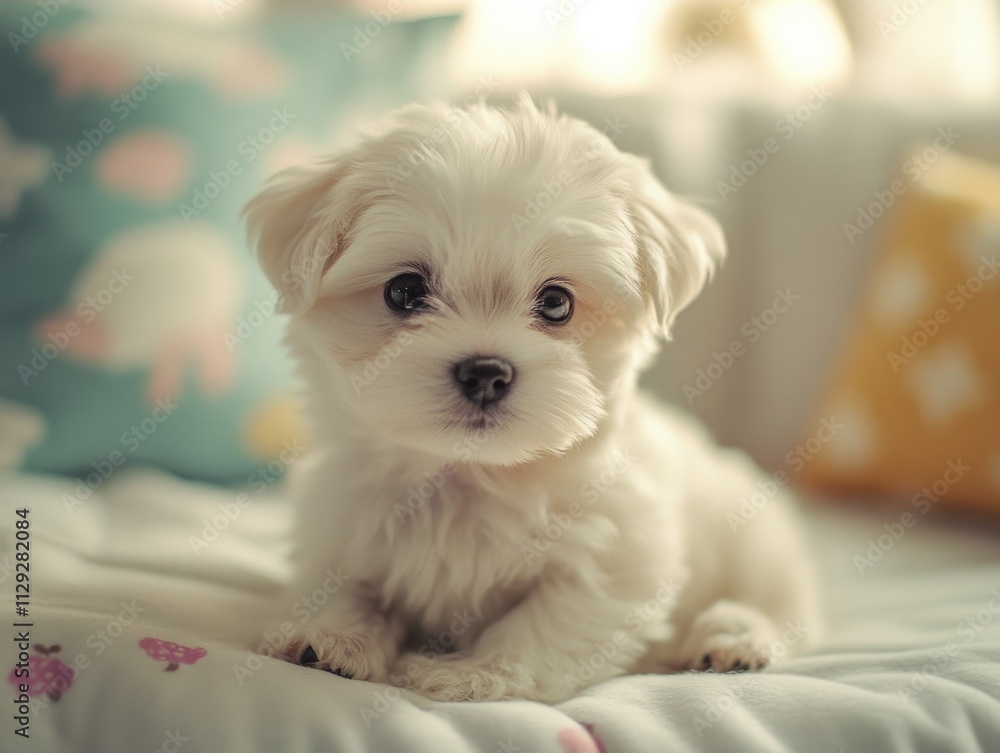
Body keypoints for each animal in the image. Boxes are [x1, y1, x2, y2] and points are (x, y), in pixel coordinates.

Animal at [244, 97, 820, 704]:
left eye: (556, 303)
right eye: (403, 292)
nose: (485, 373)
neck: (470, 476)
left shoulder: (617, 553)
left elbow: (550, 620)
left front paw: (474, 674)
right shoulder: (340, 524)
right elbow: (343, 586)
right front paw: (331, 637)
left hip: (757, 538)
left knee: (783, 607)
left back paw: (733, 639)